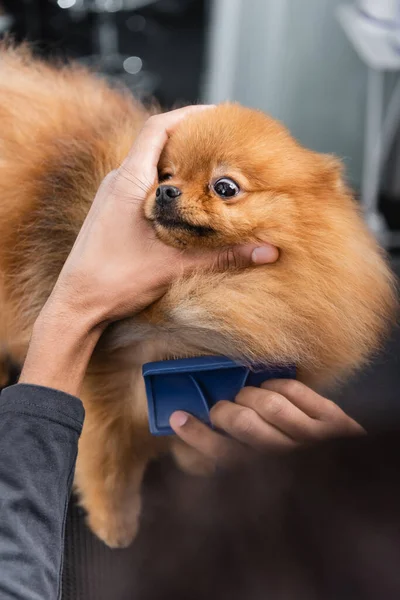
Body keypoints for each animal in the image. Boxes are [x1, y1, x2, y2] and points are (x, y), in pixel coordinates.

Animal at [0, 44, 396, 548]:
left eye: (224, 187)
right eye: (164, 173)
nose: (166, 190)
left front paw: (198, 458)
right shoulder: (106, 386)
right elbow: (109, 467)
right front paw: (116, 528)